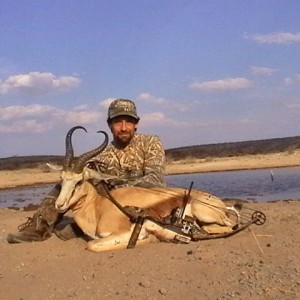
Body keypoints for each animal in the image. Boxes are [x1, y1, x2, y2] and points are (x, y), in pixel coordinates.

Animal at [55, 125, 240, 252]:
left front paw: (149, 238)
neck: (98, 207)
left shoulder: (122, 232)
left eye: (79, 182)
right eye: (61, 179)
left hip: (203, 213)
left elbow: (92, 245)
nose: (59, 205)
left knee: (230, 225)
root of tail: (219, 202)